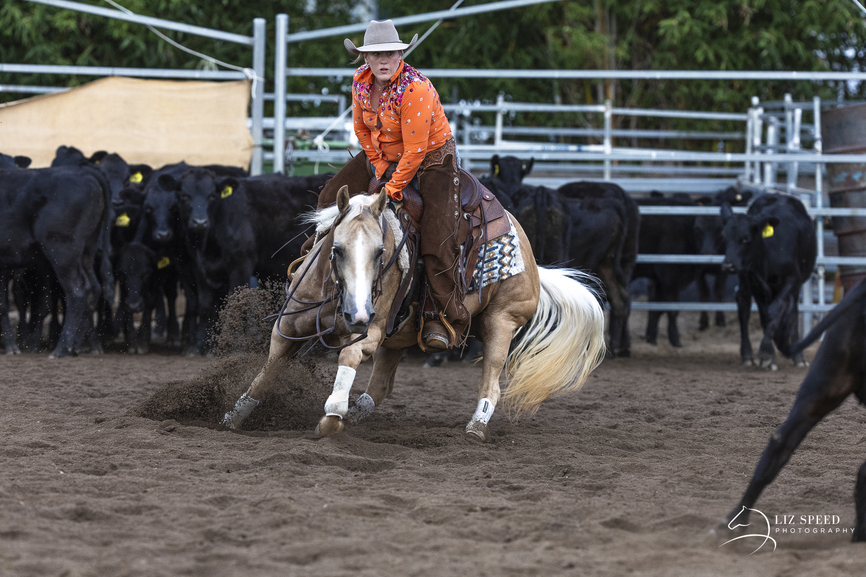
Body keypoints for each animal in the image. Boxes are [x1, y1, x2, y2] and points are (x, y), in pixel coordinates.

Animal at [222, 185, 606, 441]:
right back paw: (358, 415)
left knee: (492, 381)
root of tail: (529, 255)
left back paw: (475, 427)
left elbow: (347, 356)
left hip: (501, 322)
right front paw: (234, 416)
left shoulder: (370, 333)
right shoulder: (287, 328)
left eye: (381, 253)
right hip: (398, 340)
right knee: (381, 386)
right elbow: (267, 372)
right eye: (337, 249)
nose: (358, 314)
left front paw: (332, 414)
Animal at [720, 193, 816, 369]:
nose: (728, 265)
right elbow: (766, 315)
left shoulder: (793, 279)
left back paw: (798, 356)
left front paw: (771, 349)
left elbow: (776, 311)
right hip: (745, 277)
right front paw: (768, 354)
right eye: (724, 238)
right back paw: (747, 354)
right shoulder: (755, 282)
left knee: (791, 310)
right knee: (743, 303)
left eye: (745, 239)